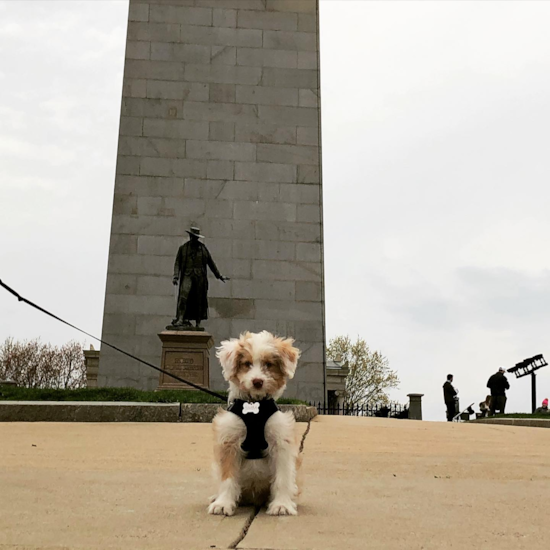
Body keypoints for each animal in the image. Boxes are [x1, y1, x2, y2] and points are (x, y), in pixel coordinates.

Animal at [210, 332, 304, 516]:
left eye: (268, 364)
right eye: (247, 364)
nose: (257, 381)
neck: (254, 405)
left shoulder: (280, 443)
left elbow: (282, 477)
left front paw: (281, 504)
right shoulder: (229, 441)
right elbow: (228, 476)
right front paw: (223, 503)